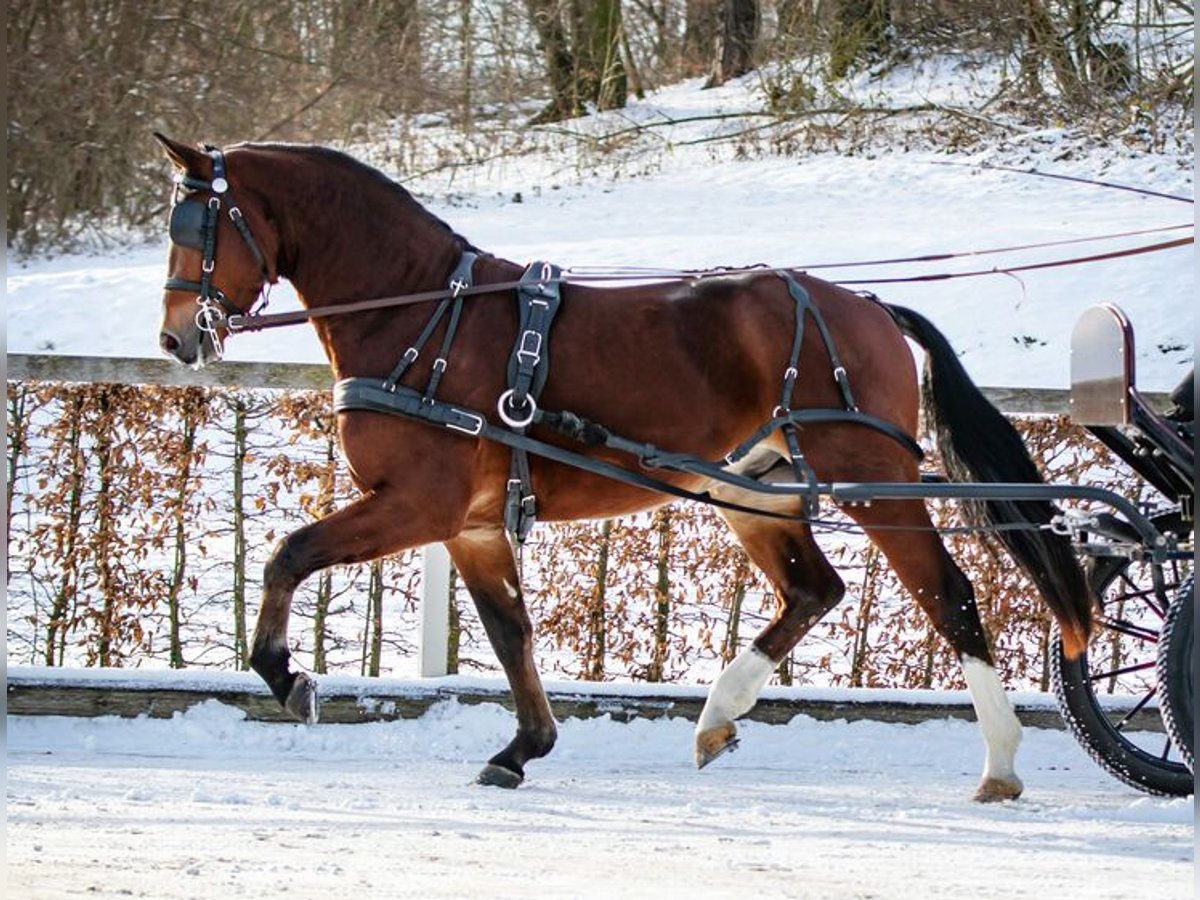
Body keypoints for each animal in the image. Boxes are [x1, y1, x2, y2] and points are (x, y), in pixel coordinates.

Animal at [154, 135, 1094, 801]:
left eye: (197, 227)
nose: (174, 339)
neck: (423, 313)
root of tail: (861, 304)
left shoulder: (418, 503)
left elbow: (289, 555)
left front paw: (287, 675)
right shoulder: (469, 524)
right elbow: (510, 630)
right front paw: (523, 748)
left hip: (868, 480)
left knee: (949, 593)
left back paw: (1001, 760)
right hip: (748, 487)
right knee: (813, 590)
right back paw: (718, 716)